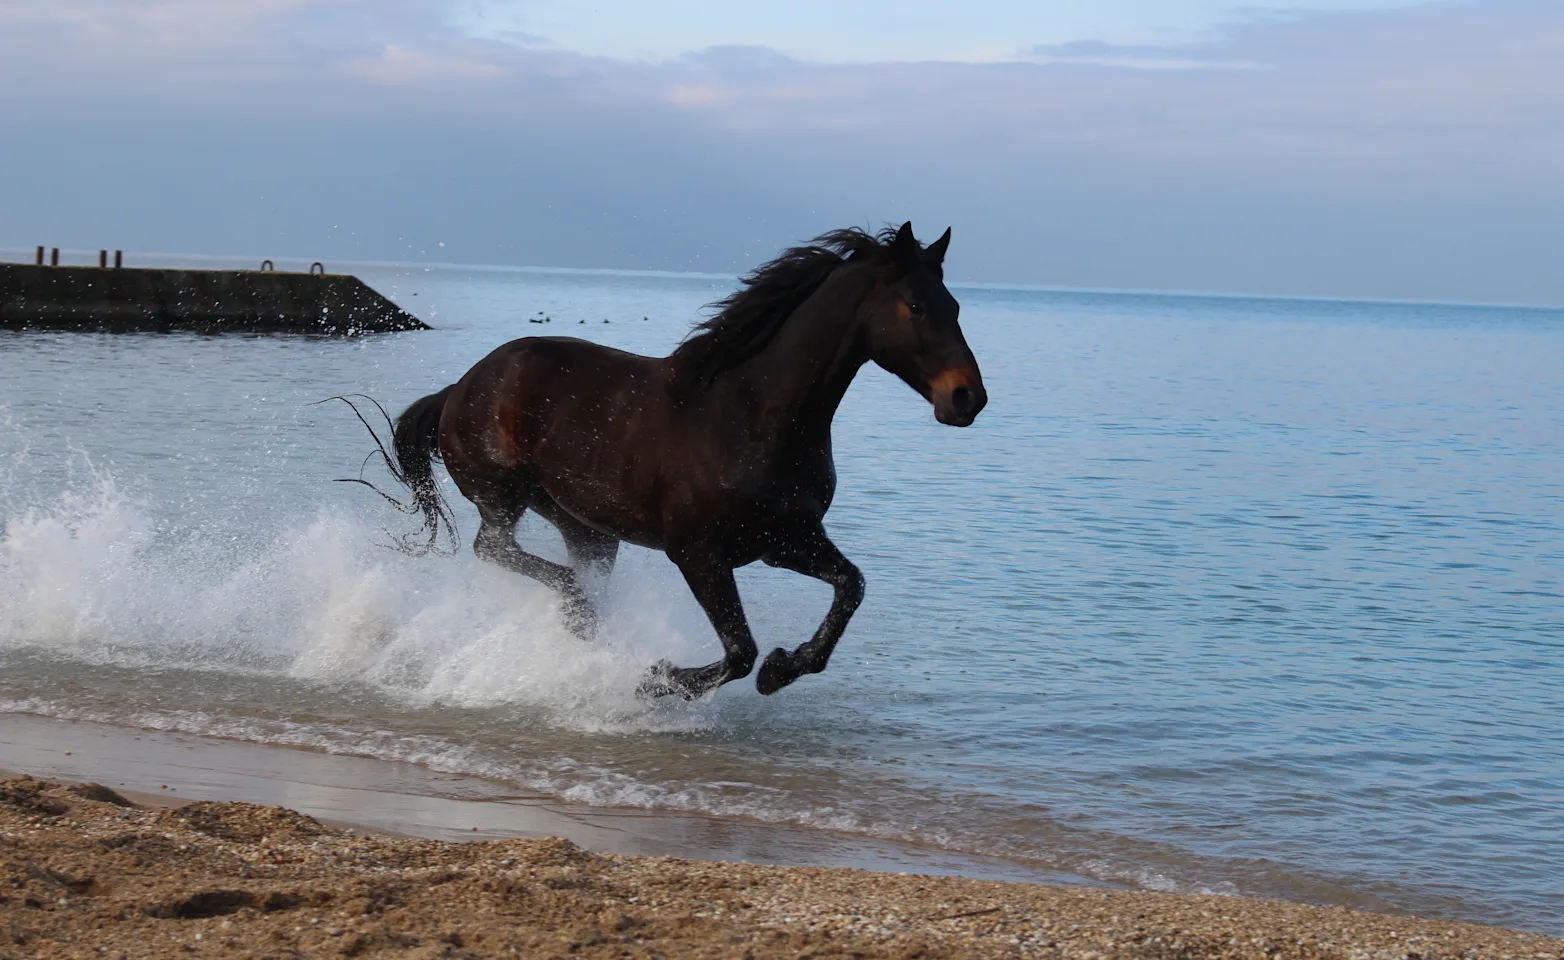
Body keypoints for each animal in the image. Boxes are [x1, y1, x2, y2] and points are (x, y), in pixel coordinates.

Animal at [353, 222, 986, 700]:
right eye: (914, 306)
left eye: (954, 304)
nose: (967, 398)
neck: (755, 414)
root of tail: (459, 387)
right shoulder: (698, 552)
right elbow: (739, 650)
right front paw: (656, 680)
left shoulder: (785, 539)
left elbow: (850, 587)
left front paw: (785, 667)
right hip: (501, 497)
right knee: (496, 548)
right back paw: (579, 612)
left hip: (585, 525)